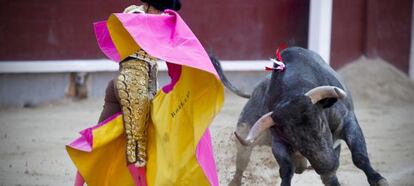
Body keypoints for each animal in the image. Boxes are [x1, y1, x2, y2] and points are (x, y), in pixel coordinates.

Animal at [210, 46, 388, 186]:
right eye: (293, 139)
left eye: (321, 123)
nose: (327, 166)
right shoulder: (278, 141)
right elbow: (286, 169)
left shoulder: (348, 122)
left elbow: (359, 157)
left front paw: (379, 180)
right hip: (244, 132)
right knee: (242, 163)